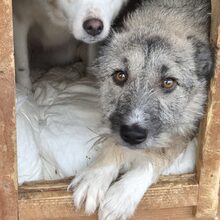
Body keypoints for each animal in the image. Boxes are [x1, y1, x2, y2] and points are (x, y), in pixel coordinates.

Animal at [69, 0, 213, 219]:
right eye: (120, 75)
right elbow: (113, 141)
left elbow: (157, 155)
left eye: (168, 82)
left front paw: (123, 193)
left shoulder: (189, 124)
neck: (162, 18)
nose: (133, 135)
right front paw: (97, 174)